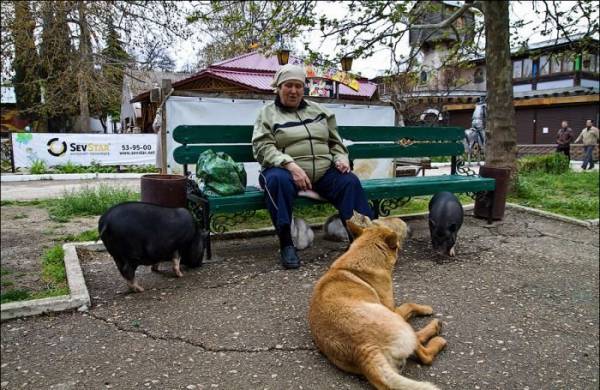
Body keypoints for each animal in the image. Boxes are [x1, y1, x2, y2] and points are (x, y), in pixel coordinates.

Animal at [310, 213, 446, 390]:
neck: (361, 256)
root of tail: (364, 350)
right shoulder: (393, 308)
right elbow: (409, 304)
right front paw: (425, 308)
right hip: (397, 320)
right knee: (424, 353)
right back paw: (437, 333)